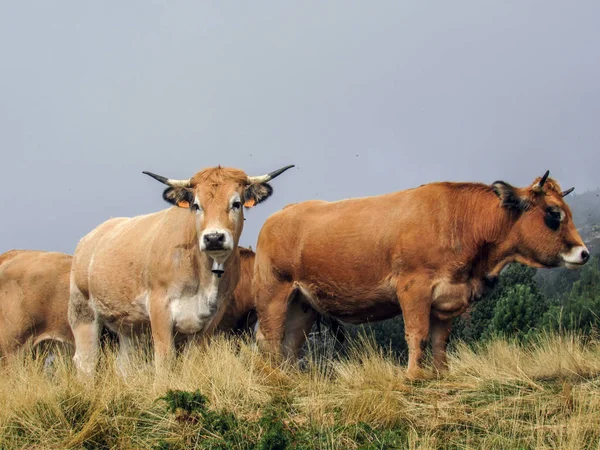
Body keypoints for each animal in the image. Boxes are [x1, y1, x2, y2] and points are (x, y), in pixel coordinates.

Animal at [69, 163, 294, 374]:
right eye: (196, 205)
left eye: (236, 203)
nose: (214, 238)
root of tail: (91, 237)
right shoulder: (159, 309)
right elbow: (164, 361)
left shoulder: (211, 318)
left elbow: (191, 363)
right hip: (83, 313)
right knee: (86, 362)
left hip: (129, 325)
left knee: (124, 364)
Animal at [253, 172, 592, 380]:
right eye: (553, 214)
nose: (584, 253)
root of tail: (279, 214)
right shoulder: (413, 288)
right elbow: (417, 333)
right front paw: (414, 375)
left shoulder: (448, 297)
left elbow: (440, 340)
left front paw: (442, 374)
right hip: (273, 293)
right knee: (269, 337)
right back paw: (273, 378)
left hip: (302, 304)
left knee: (290, 342)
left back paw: (289, 378)